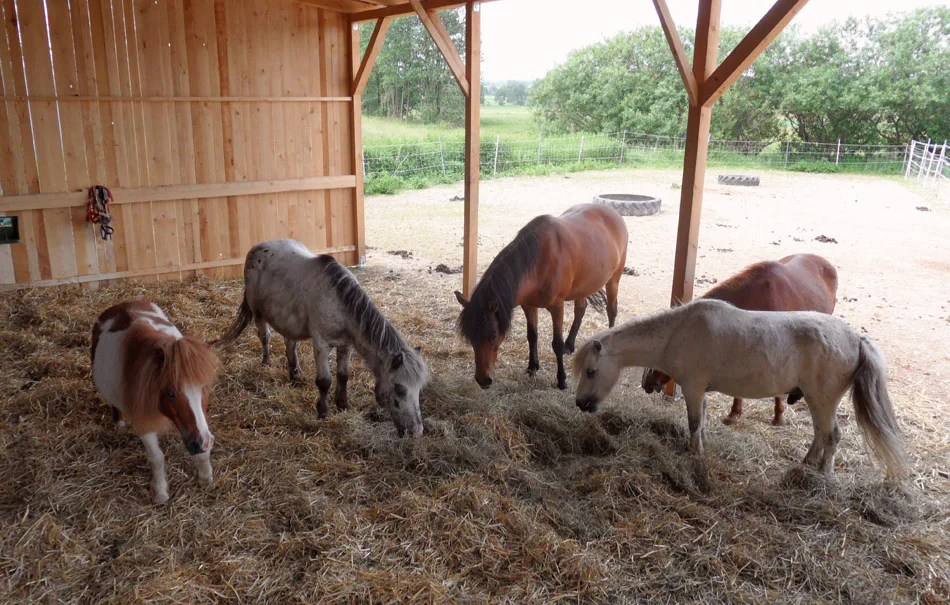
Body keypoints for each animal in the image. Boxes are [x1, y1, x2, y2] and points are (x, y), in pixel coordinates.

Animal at [91, 300, 220, 504]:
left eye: (204, 387)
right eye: (170, 392)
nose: (203, 442)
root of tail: (120, 304)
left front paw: (205, 478)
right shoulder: (143, 420)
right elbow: (156, 457)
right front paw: (160, 491)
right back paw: (119, 423)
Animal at [216, 239, 428, 437]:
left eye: (419, 389)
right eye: (399, 389)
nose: (417, 431)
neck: (340, 304)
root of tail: (257, 247)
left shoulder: (346, 346)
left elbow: (343, 376)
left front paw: (342, 405)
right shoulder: (321, 345)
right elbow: (324, 381)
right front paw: (323, 412)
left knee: (289, 343)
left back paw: (295, 373)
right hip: (258, 312)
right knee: (264, 337)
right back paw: (267, 362)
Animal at [455, 203, 628, 391]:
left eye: (493, 336)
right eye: (470, 337)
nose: (483, 380)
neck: (539, 261)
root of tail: (612, 211)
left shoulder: (557, 306)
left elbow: (556, 343)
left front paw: (561, 380)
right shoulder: (529, 306)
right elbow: (532, 336)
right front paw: (532, 367)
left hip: (614, 279)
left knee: (611, 311)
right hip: (582, 287)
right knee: (581, 309)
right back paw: (570, 345)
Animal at [574, 299, 906, 479]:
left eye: (591, 371)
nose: (580, 404)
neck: (677, 333)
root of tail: (857, 339)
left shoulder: (692, 387)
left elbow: (694, 423)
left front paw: (694, 454)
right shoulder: (699, 391)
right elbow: (702, 422)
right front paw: (701, 448)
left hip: (822, 401)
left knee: (832, 436)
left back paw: (823, 477)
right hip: (815, 401)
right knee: (820, 435)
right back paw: (807, 464)